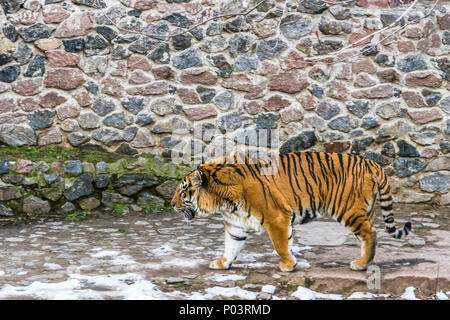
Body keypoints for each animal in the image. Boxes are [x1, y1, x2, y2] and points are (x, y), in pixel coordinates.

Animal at [171, 151, 412, 272]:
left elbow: (281, 245)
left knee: (371, 233)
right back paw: (365, 261)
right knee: (369, 234)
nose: (172, 204)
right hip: (365, 210)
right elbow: (231, 246)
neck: (224, 202)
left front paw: (288, 265)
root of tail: (373, 163)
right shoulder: (236, 224)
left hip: (348, 209)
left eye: (183, 190)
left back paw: (361, 265)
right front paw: (222, 264)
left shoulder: (276, 217)